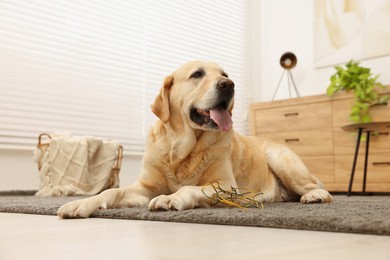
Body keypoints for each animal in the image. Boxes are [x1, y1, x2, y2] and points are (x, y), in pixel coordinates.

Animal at [58, 61, 332, 217]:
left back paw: (314, 196)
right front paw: (81, 204)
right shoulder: (144, 188)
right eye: (197, 74)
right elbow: (111, 192)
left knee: (320, 189)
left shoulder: (225, 184)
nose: (229, 84)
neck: (181, 150)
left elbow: (189, 188)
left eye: (225, 73)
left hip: (280, 158)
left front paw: (170, 198)